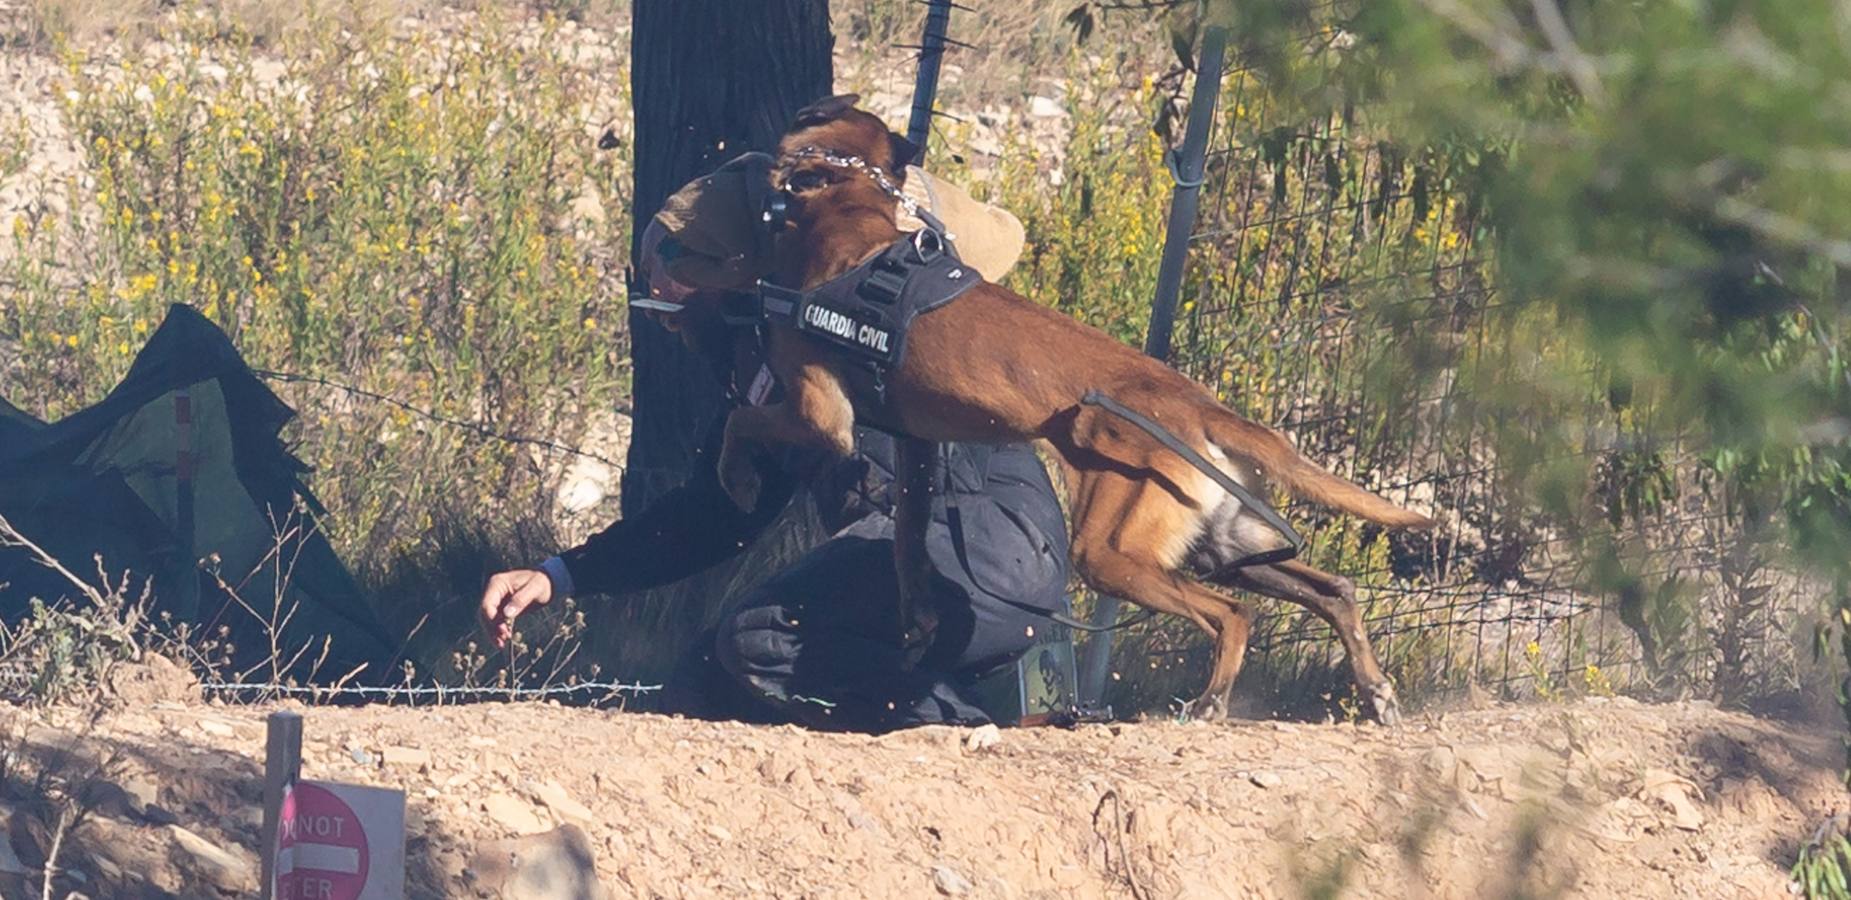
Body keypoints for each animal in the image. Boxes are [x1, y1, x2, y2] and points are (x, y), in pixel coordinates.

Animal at [695, 93, 1428, 725]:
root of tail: (1197, 404)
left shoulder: (821, 416)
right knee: (1334, 590)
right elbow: (907, 546)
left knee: (1229, 615)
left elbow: (740, 420)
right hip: (1220, 544)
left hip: (1111, 552)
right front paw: (917, 621)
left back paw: (1210, 703)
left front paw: (738, 479)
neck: (849, 214)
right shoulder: (916, 447)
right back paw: (1377, 694)